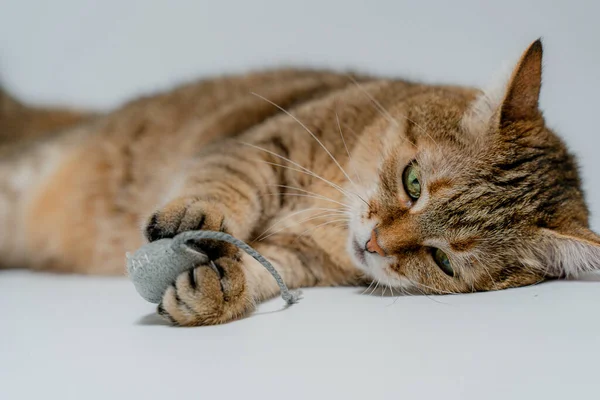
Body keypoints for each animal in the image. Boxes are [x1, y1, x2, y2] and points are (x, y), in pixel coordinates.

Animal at [1, 39, 600, 324]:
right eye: (413, 182)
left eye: (444, 260)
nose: (375, 243)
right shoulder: (263, 144)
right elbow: (227, 183)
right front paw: (197, 214)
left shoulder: (301, 260)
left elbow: (262, 271)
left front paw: (218, 289)